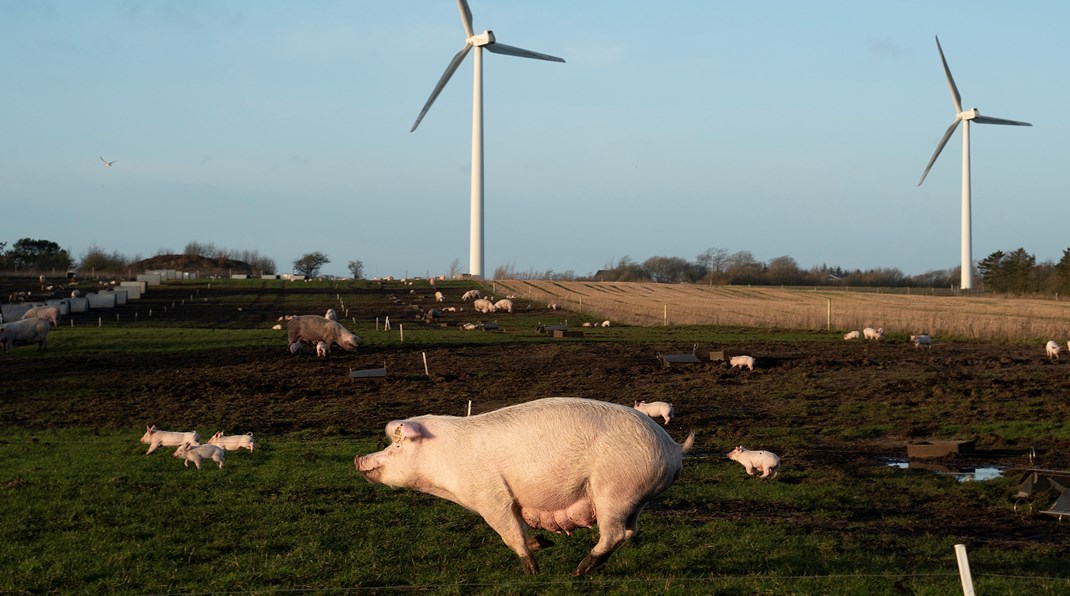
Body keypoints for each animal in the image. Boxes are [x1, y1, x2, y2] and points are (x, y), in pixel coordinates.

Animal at [355, 398, 697, 573]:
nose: (359, 458)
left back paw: (579, 570)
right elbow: (520, 530)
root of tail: (673, 448)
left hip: (613, 491)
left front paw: (533, 570)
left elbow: (509, 533)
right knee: (630, 531)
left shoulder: (491, 496)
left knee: (614, 533)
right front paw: (544, 544)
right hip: (633, 498)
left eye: (397, 446)